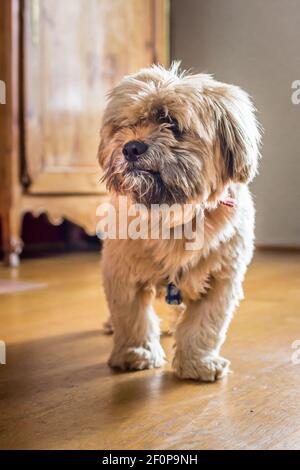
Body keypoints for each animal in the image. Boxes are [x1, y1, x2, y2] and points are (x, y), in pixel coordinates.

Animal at [98, 63, 260, 382]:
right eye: (125, 124)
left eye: (171, 124)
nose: (131, 147)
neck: (175, 211)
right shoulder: (121, 273)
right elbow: (131, 318)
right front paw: (137, 353)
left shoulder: (222, 280)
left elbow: (204, 326)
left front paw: (198, 363)